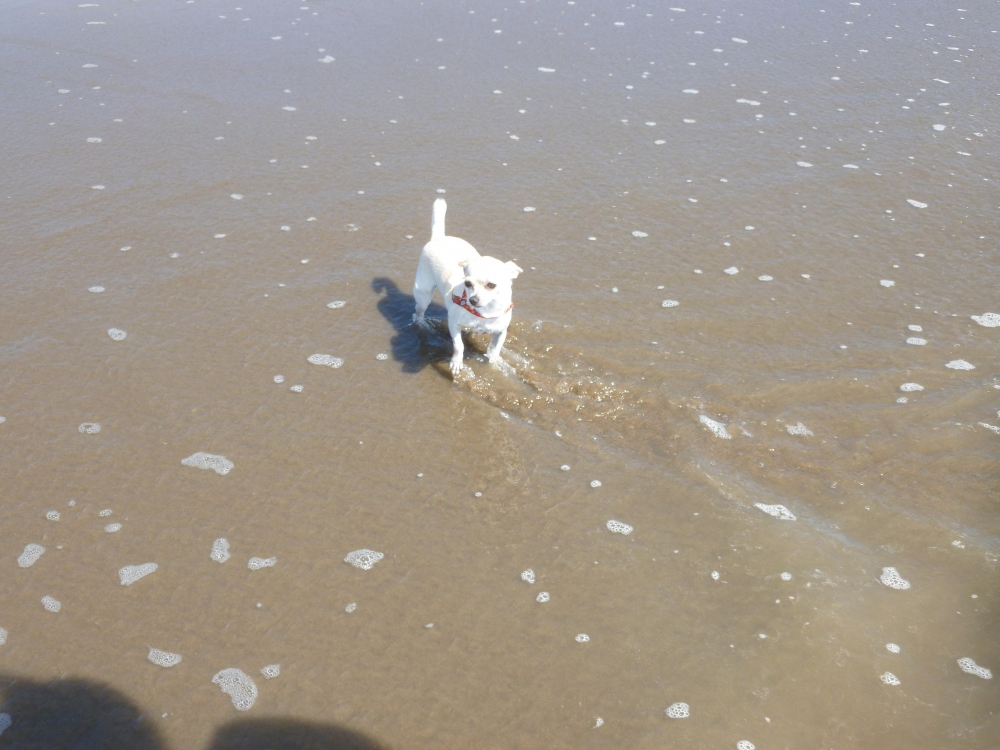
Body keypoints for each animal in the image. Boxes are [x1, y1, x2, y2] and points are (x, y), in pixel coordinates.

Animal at [414, 198, 524, 376]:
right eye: (467, 284)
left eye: (491, 285)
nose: (473, 300)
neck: (485, 312)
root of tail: (439, 238)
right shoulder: (454, 323)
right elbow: (459, 345)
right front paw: (456, 362)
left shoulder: (501, 332)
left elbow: (495, 349)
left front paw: (494, 363)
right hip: (423, 293)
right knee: (419, 311)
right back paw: (421, 325)